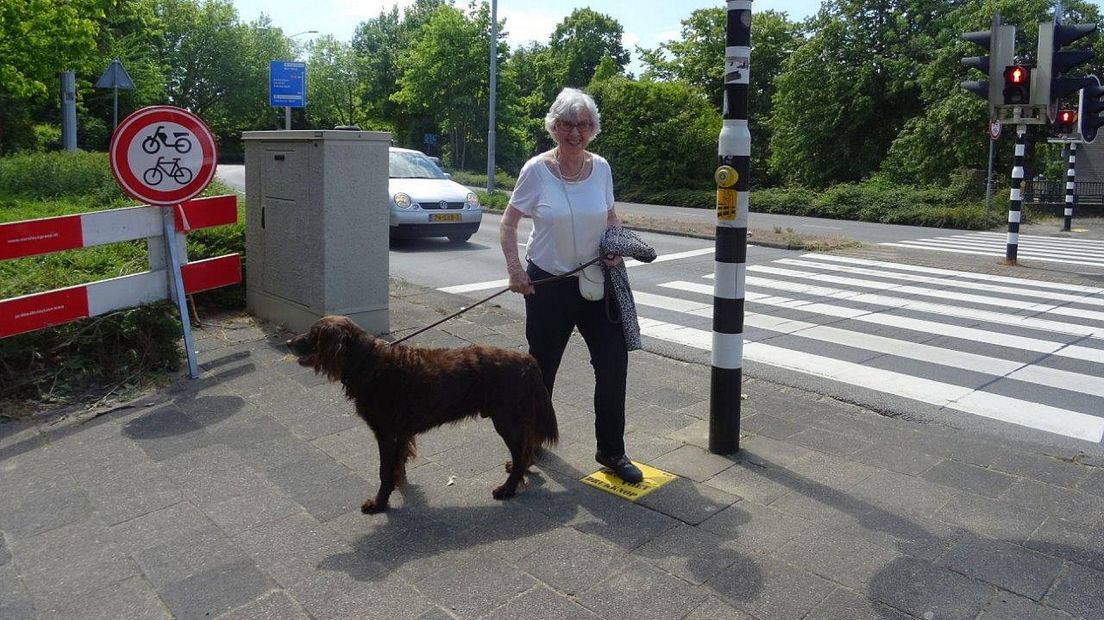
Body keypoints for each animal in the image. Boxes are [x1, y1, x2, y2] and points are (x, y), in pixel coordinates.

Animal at [287, 313, 560, 511]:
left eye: (313, 334)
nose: (288, 343)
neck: (368, 363)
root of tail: (528, 361)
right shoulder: (401, 434)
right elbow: (397, 464)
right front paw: (397, 486)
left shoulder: (386, 433)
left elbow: (384, 471)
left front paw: (379, 503)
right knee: (525, 450)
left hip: (506, 419)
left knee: (521, 453)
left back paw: (507, 489)